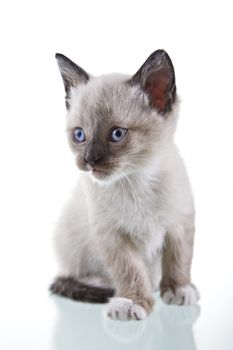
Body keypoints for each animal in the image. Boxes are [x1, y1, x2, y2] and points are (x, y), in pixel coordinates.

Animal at [50, 48, 199, 320]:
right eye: (79, 135)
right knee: (72, 275)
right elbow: (129, 270)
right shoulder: (111, 235)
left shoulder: (179, 224)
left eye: (117, 134)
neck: (134, 180)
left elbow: (179, 260)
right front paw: (132, 302)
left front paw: (178, 289)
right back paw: (102, 284)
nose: (89, 161)